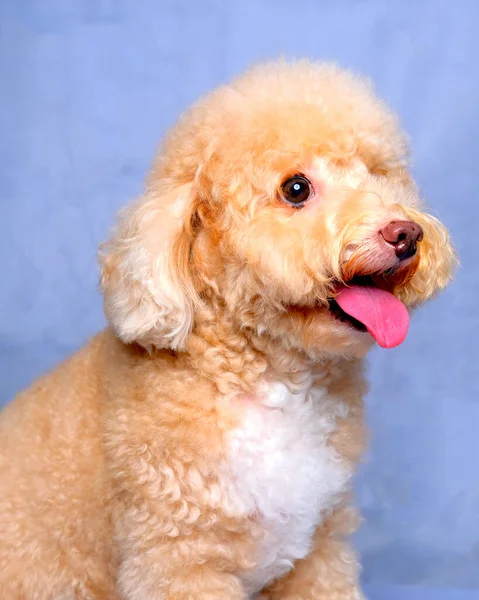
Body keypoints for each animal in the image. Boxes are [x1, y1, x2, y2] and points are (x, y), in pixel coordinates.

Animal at [0, 58, 458, 596]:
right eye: (296, 189)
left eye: (380, 174)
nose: (405, 233)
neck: (272, 385)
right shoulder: (178, 561)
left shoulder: (319, 551)